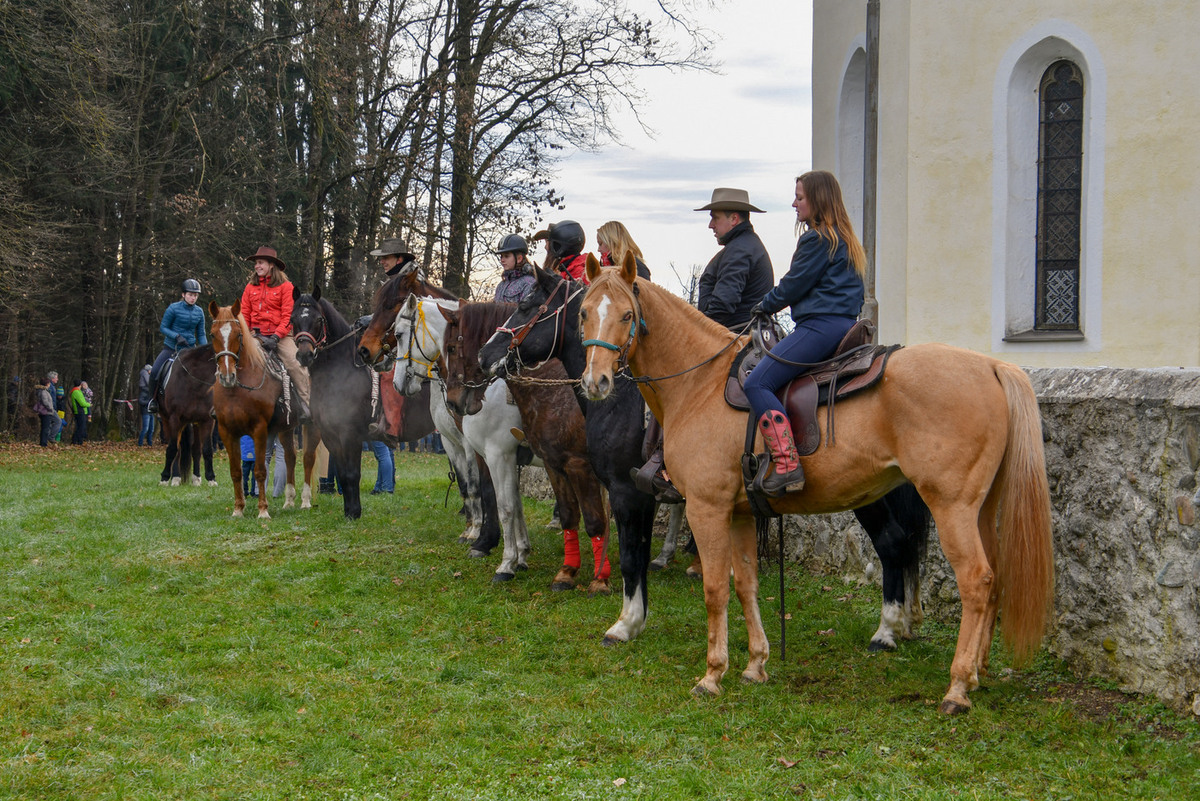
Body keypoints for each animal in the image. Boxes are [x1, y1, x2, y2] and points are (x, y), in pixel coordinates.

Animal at [155, 346, 218, 487]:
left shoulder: (206, 420)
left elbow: (207, 450)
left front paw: (211, 479)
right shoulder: (175, 419)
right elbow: (173, 449)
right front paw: (165, 478)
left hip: (195, 423)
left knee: (196, 450)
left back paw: (196, 478)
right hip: (167, 420)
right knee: (177, 450)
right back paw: (175, 477)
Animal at [208, 300, 303, 518]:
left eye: (238, 334)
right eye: (213, 334)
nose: (227, 376)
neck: (237, 390)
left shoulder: (258, 429)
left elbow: (260, 471)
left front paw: (263, 511)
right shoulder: (227, 432)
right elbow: (236, 472)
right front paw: (238, 509)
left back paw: (306, 501)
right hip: (284, 429)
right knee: (290, 457)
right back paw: (289, 501)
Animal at [438, 300, 612, 594]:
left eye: (451, 347)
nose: (454, 402)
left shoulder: (500, 456)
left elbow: (505, 506)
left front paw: (506, 563)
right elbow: (516, 505)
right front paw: (520, 556)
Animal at [478, 266, 932, 651]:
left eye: (525, 305)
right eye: (585, 314)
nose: (485, 355)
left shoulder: (624, 492)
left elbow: (629, 558)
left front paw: (623, 624)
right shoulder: (643, 494)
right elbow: (636, 554)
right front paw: (636, 617)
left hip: (867, 495)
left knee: (892, 543)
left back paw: (886, 631)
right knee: (903, 544)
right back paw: (905, 624)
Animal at [574, 253, 1053, 714]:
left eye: (626, 315)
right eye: (583, 313)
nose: (596, 382)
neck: (699, 384)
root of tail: (992, 365)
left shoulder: (706, 509)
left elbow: (713, 589)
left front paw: (711, 674)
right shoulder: (740, 513)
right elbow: (745, 584)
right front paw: (755, 664)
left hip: (951, 508)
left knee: (975, 580)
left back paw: (956, 685)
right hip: (982, 507)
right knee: (994, 577)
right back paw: (976, 671)